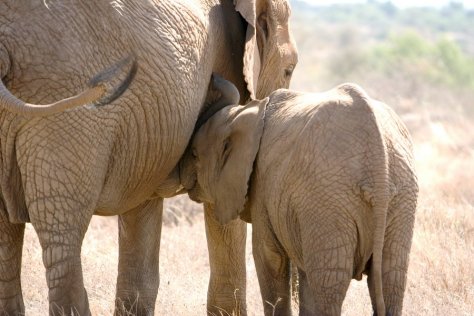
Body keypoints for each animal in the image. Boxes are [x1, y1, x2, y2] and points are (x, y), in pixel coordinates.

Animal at [0, 1, 296, 314]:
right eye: (289, 70)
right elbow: (224, 215)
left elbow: (141, 216)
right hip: (64, 115)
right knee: (62, 240)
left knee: (7, 241)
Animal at [178, 75, 418, 314]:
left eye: (195, 154)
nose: (215, 77)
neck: (242, 114)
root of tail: (378, 160)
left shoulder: (263, 186)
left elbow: (269, 256)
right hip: (401, 197)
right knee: (392, 278)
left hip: (327, 201)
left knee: (330, 284)